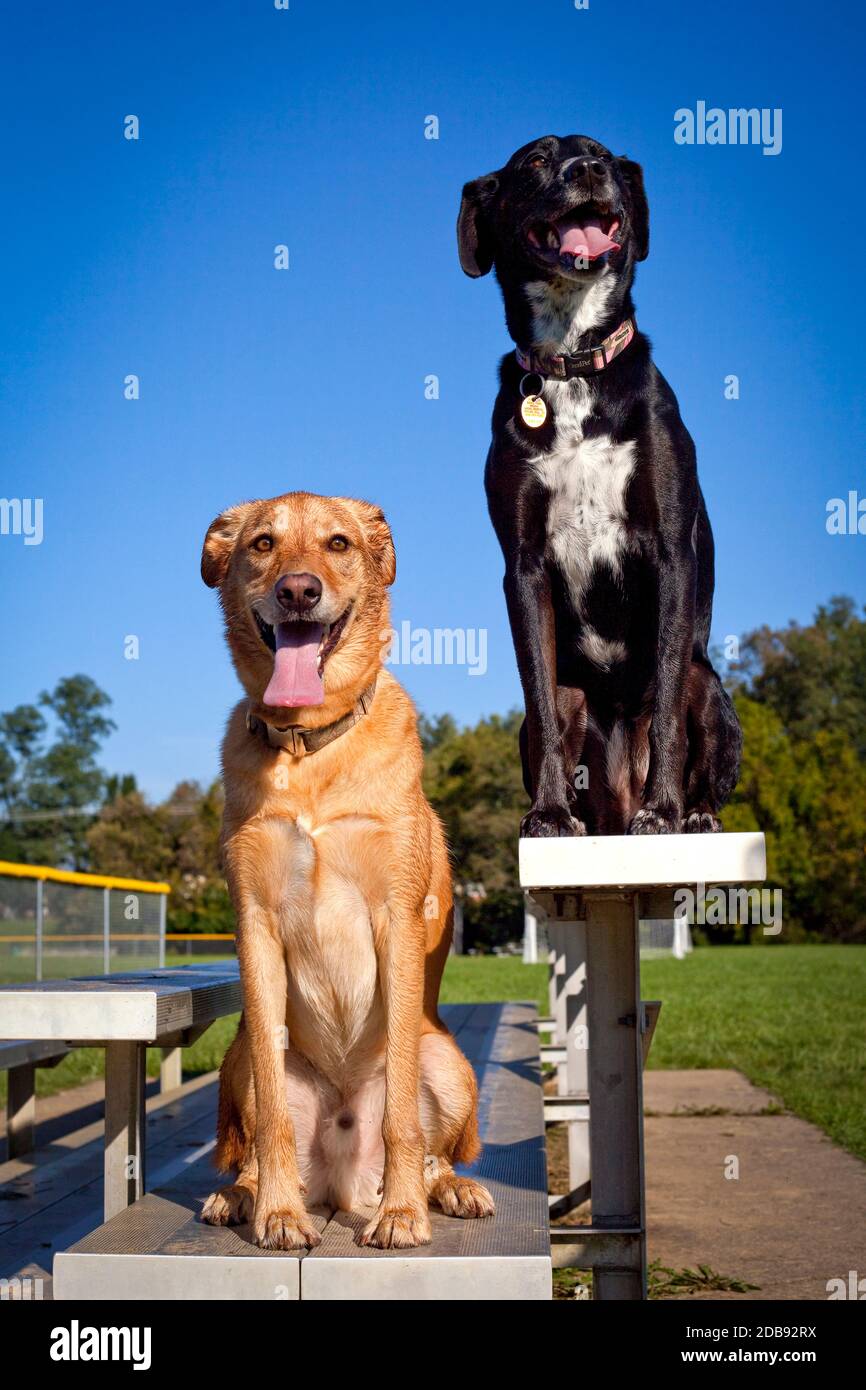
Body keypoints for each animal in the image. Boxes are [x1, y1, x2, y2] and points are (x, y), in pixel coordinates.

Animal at [198, 494, 494, 1256]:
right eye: (263, 544)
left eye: (337, 543)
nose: (298, 591)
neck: (310, 749)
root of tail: (338, 1183)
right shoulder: (256, 927)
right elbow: (272, 1116)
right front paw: (276, 1211)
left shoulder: (396, 919)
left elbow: (400, 1115)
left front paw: (402, 1212)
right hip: (237, 1057)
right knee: (252, 1138)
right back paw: (241, 1195)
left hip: (448, 1060)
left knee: (434, 1145)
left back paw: (444, 1187)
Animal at [458, 138, 739, 834]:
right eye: (534, 163)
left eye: (604, 156)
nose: (588, 172)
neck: (574, 361)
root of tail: (620, 793)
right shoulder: (524, 568)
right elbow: (538, 697)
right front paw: (550, 816)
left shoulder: (671, 553)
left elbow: (666, 703)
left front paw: (664, 811)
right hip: (566, 700)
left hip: (711, 688)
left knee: (692, 718)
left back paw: (692, 813)